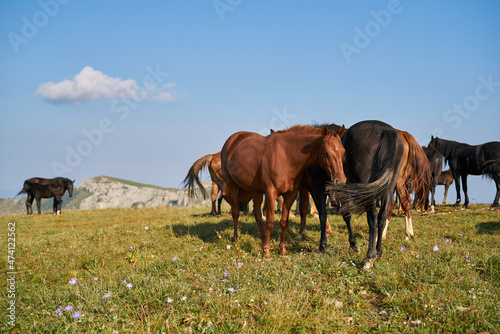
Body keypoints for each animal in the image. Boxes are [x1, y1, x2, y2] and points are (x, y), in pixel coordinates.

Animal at [221, 124, 346, 258]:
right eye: (326, 152)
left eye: (343, 151)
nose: (340, 180)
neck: (286, 156)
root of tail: (232, 139)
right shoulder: (271, 193)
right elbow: (270, 222)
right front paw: (267, 252)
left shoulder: (291, 194)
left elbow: (284, 221)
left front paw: (282, 250)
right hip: (231, 184)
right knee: (235, 212)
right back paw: (236, 238)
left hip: (256, 190)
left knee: (257, 213)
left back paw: (263, 237)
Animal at [328, 120, 406, 272]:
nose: (333, 202)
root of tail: (387, 131)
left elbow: (346, 215)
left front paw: (353, 245)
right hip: (388, 186)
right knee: (382, 216)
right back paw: (378, 252)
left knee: (373, 217)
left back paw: (369, 257)